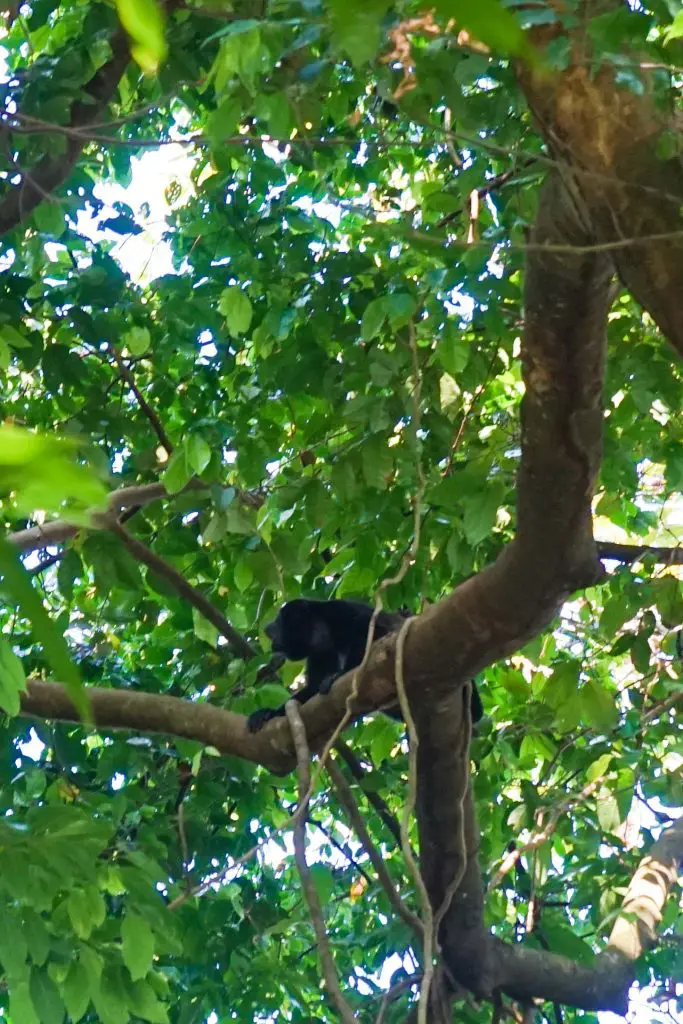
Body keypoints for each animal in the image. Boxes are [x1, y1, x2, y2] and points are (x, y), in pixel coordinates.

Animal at [244, 598, 481, 733]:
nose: (267, 626)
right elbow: (311, 690)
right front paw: (268, 713)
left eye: (279, 619)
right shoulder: (317, 655)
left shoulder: (339, 611)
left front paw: (340, 673)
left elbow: (371, 628)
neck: (321, 635)